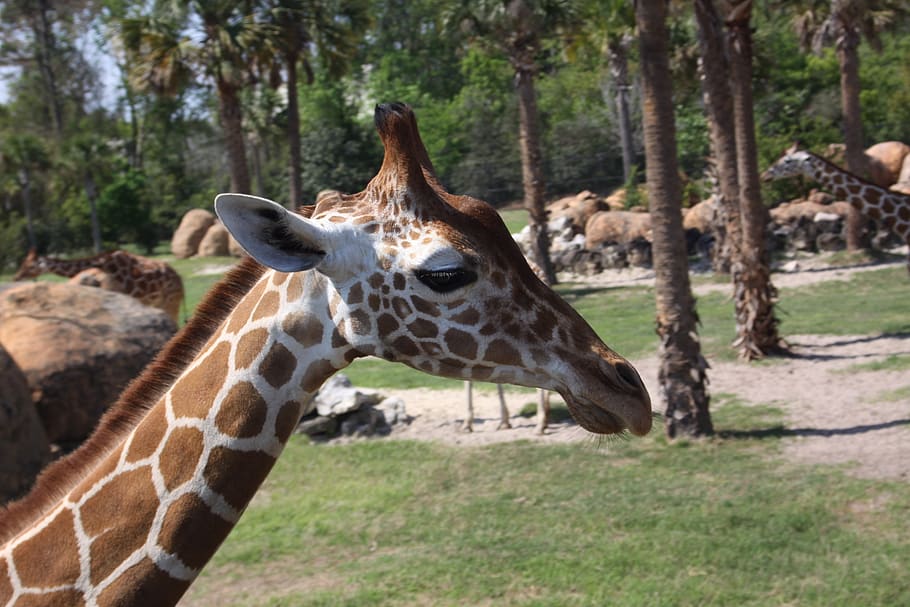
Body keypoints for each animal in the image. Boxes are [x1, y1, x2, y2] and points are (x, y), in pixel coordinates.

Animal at [13, 249, 185, 322]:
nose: (16, 277)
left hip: (171, 303)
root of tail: (180, 280)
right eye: (22, 263)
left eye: (29, 266)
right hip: (159, 303)